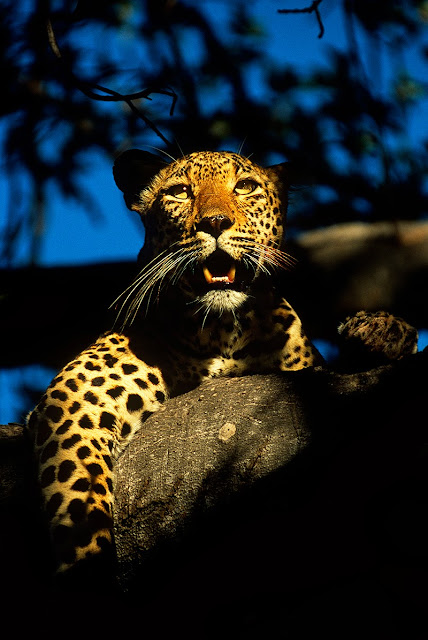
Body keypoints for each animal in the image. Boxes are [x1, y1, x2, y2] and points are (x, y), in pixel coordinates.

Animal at [26, 150, 418, 580]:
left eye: (245, 187)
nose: (214, 223)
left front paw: (384, 331)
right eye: (179, 192)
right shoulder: (78, 396)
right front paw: (89, 566)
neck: (220, 331)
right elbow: (76, 497)